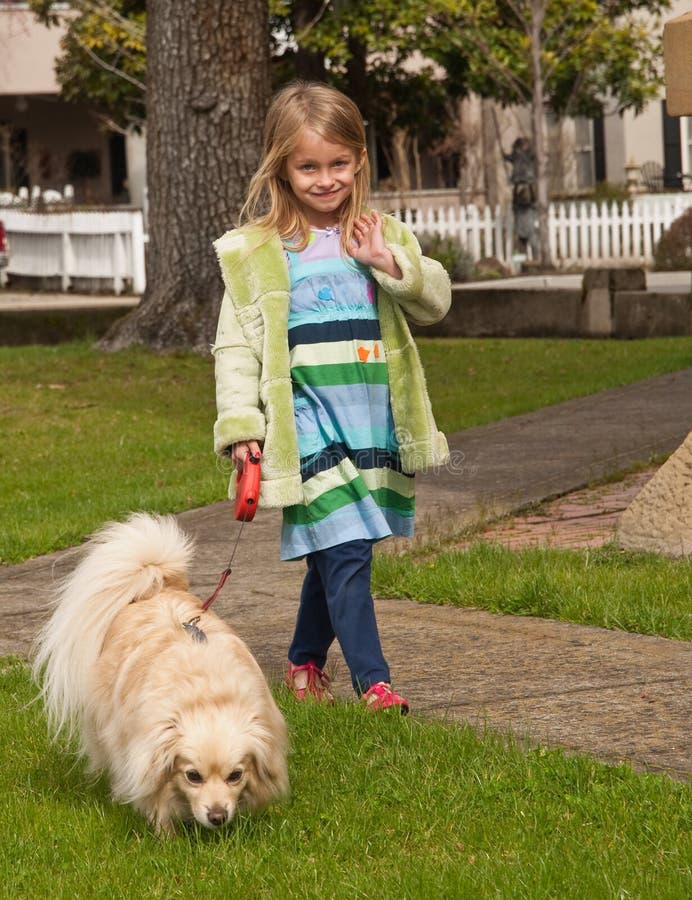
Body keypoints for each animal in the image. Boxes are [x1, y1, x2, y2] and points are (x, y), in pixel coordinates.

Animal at [32, 512, 290, 836]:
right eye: (193, 776)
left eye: (235, 776)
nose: (217, 816)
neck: (206, 697)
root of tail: (157, 587)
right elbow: (157, 799)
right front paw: (166, 836)